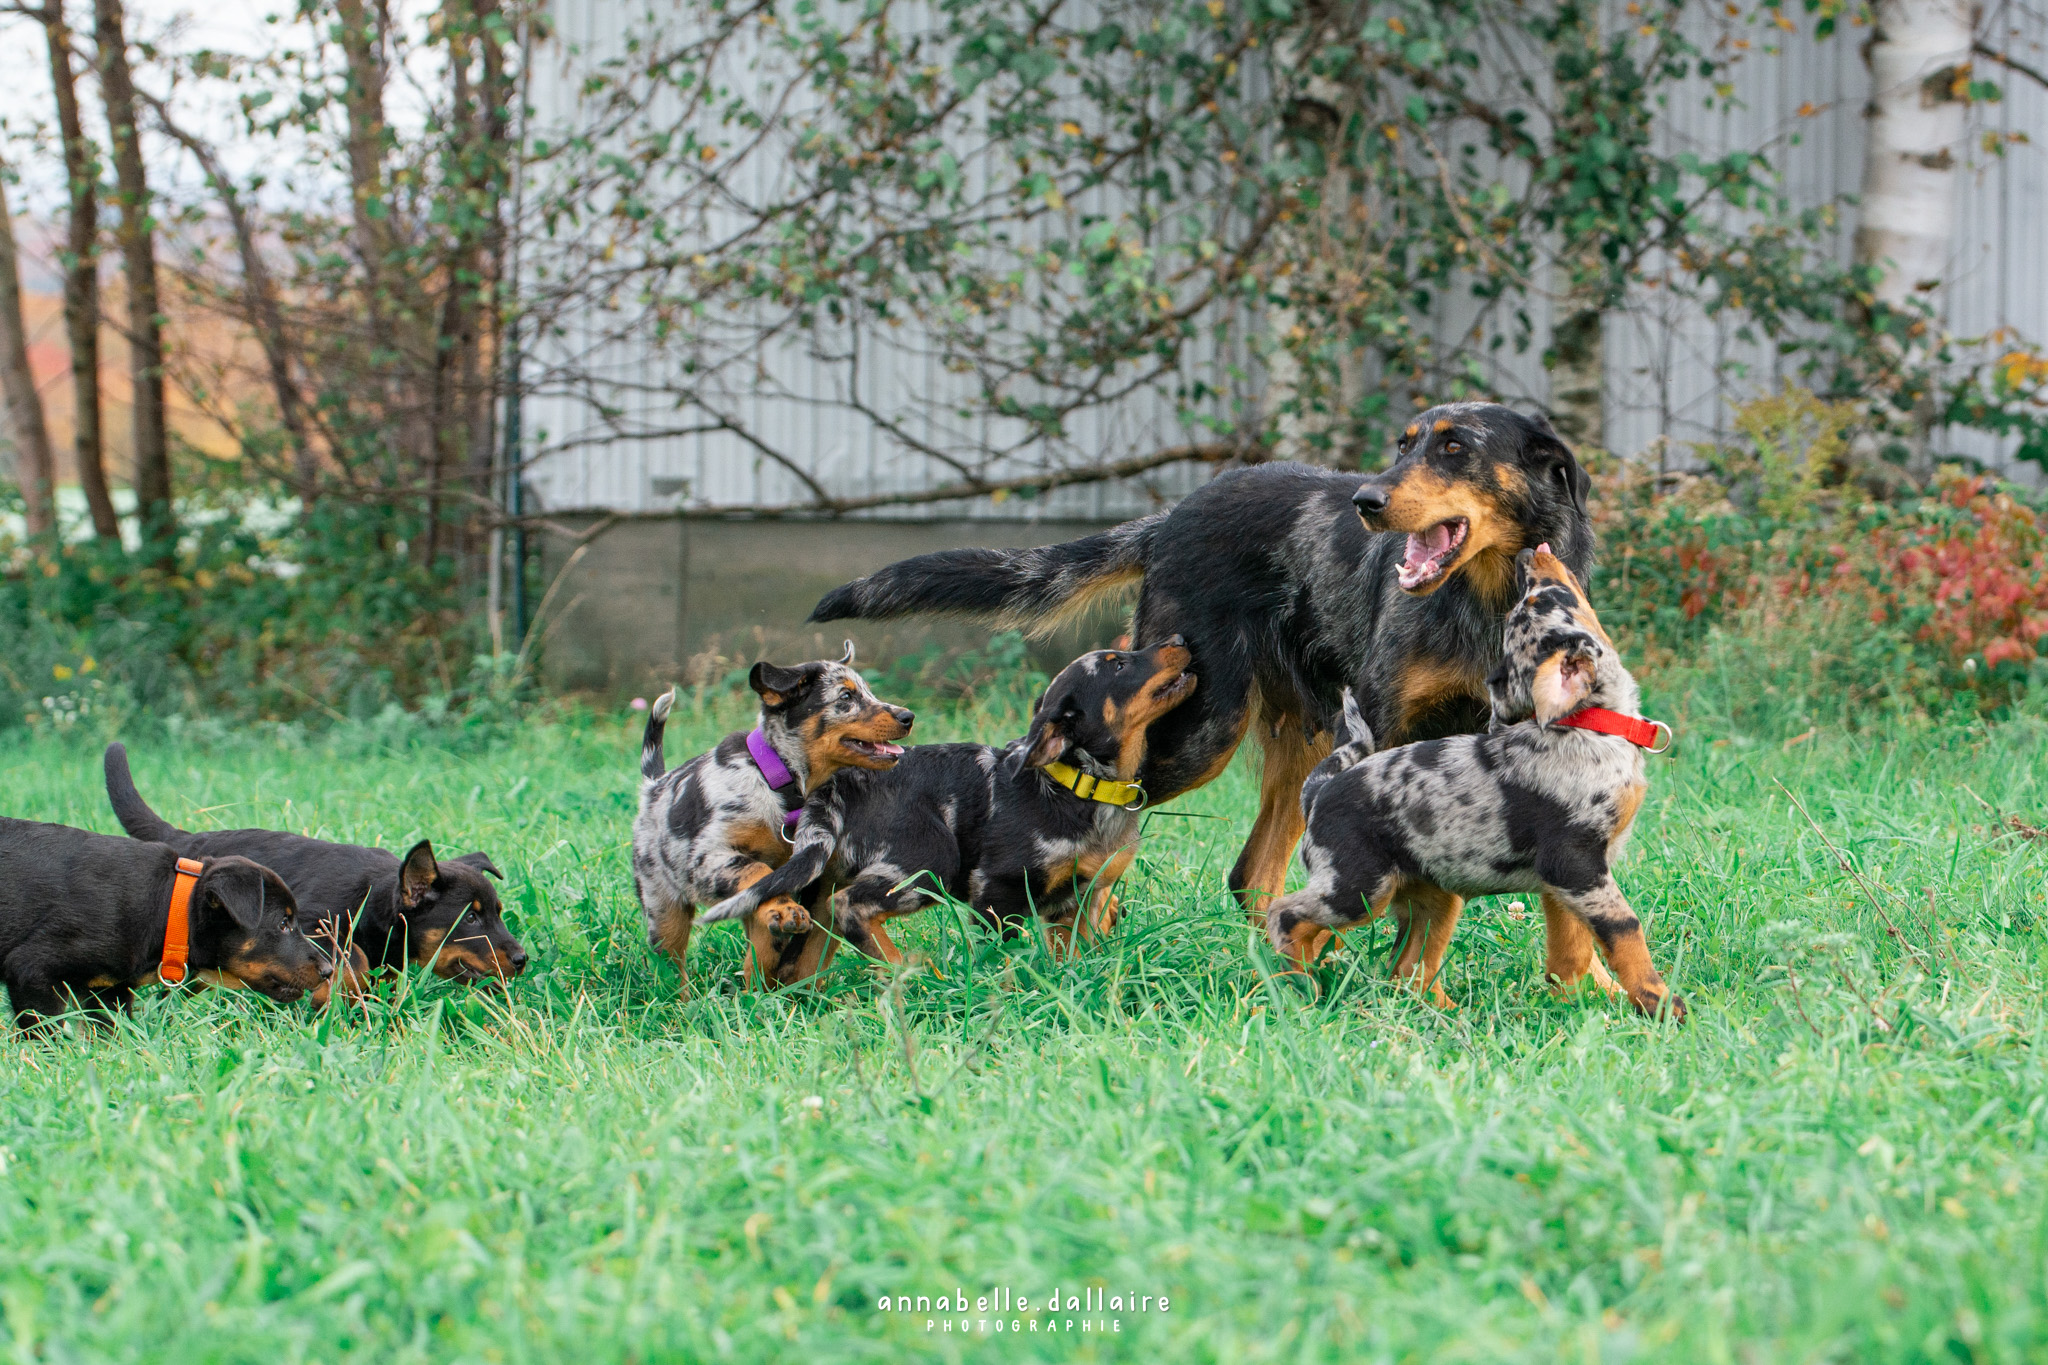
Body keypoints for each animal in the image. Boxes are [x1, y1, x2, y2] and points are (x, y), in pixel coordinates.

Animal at [0, 818, 325, 1031]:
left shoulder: (108, 991)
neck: (169, 908)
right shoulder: (32, 971)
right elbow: (43, 1032)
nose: (329, 970)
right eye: (283, 923)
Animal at [103, 749, 528, 1002]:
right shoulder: (309, 922)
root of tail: (186, 840)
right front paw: (331, 992)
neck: (373, 901)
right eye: (470, 919)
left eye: (497, 914)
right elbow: (350, 956)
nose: (522, 959)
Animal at [626, 642, 909, 994]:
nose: (908, 717)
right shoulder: (706, 858)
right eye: (846, 697)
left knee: (761, 945)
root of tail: (653, 787)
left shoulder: (820, 881)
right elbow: (759, 870)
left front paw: (807, 992)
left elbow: (810, 949)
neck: (781, 784)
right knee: (672, 962)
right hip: (663, 907)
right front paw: (786, 911)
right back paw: (684, 999)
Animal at [700, 642, 1196, 970]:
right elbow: (1003, 957)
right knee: (851, 907)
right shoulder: (997, 890)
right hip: (930, 858)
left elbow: (1073, 957)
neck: (1082, 787)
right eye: (1119, 664)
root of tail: (839, 786)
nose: (1180, 639)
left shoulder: (1078, 901)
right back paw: (914, 973)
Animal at [1261, 548, 1679, 1019]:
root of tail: (1319, 790)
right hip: (1357, 887)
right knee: (1285, 915)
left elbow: (1571, 950)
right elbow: (1624, 929)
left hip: (1434, 897)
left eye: (1537, 600)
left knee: (1408, 971)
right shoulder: (1576, 863)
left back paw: (1449, 1014)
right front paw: (1658, 1001)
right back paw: (1298, 984)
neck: (1590, 724)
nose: (1527, 555)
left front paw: (1578, 1002)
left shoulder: (1567, 881)